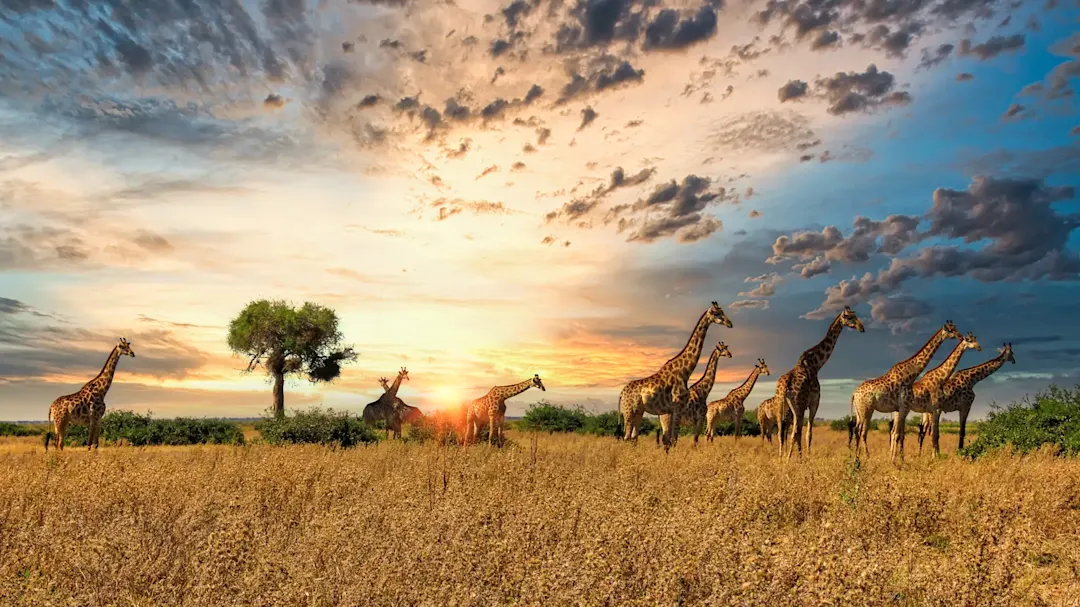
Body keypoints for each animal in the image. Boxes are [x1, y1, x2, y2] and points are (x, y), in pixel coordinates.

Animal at [617, 300, 734, 449]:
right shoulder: (679, 408)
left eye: (723, 311)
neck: (685, 372)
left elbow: (671, 440)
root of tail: (621, 393)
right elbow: (675, 439)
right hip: (629, 411)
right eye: (716, 313)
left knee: (633, 436)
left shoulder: (672, 410)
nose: (730, 323)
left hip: (639, 411)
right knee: (626, 436)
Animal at [773, 306, 864, 457]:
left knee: (781, 433)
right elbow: (808, 433)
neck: (816, 364)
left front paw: (802, 457)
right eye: (850, 317)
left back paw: (781, 459)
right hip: (798, 405)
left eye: (855, 315)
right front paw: (807, 457)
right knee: (794, 432)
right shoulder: (814, 403)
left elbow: (801, 433)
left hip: (780, 406)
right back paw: (788, 460)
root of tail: (785, 386)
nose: (862, 327)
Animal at [851, 319, 963, 460]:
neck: (910, 374)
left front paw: (897, 458)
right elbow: (898, 434)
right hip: (866, 409)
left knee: (857, 430)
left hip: (859, 411)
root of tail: (854, 394)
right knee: (861, 431)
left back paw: (857, 457)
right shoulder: (904, 407)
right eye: (951, 330)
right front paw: (895, 460)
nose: (961, 337)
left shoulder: (900, 409)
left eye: (956, 328)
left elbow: (898, 433)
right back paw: (863, 457)